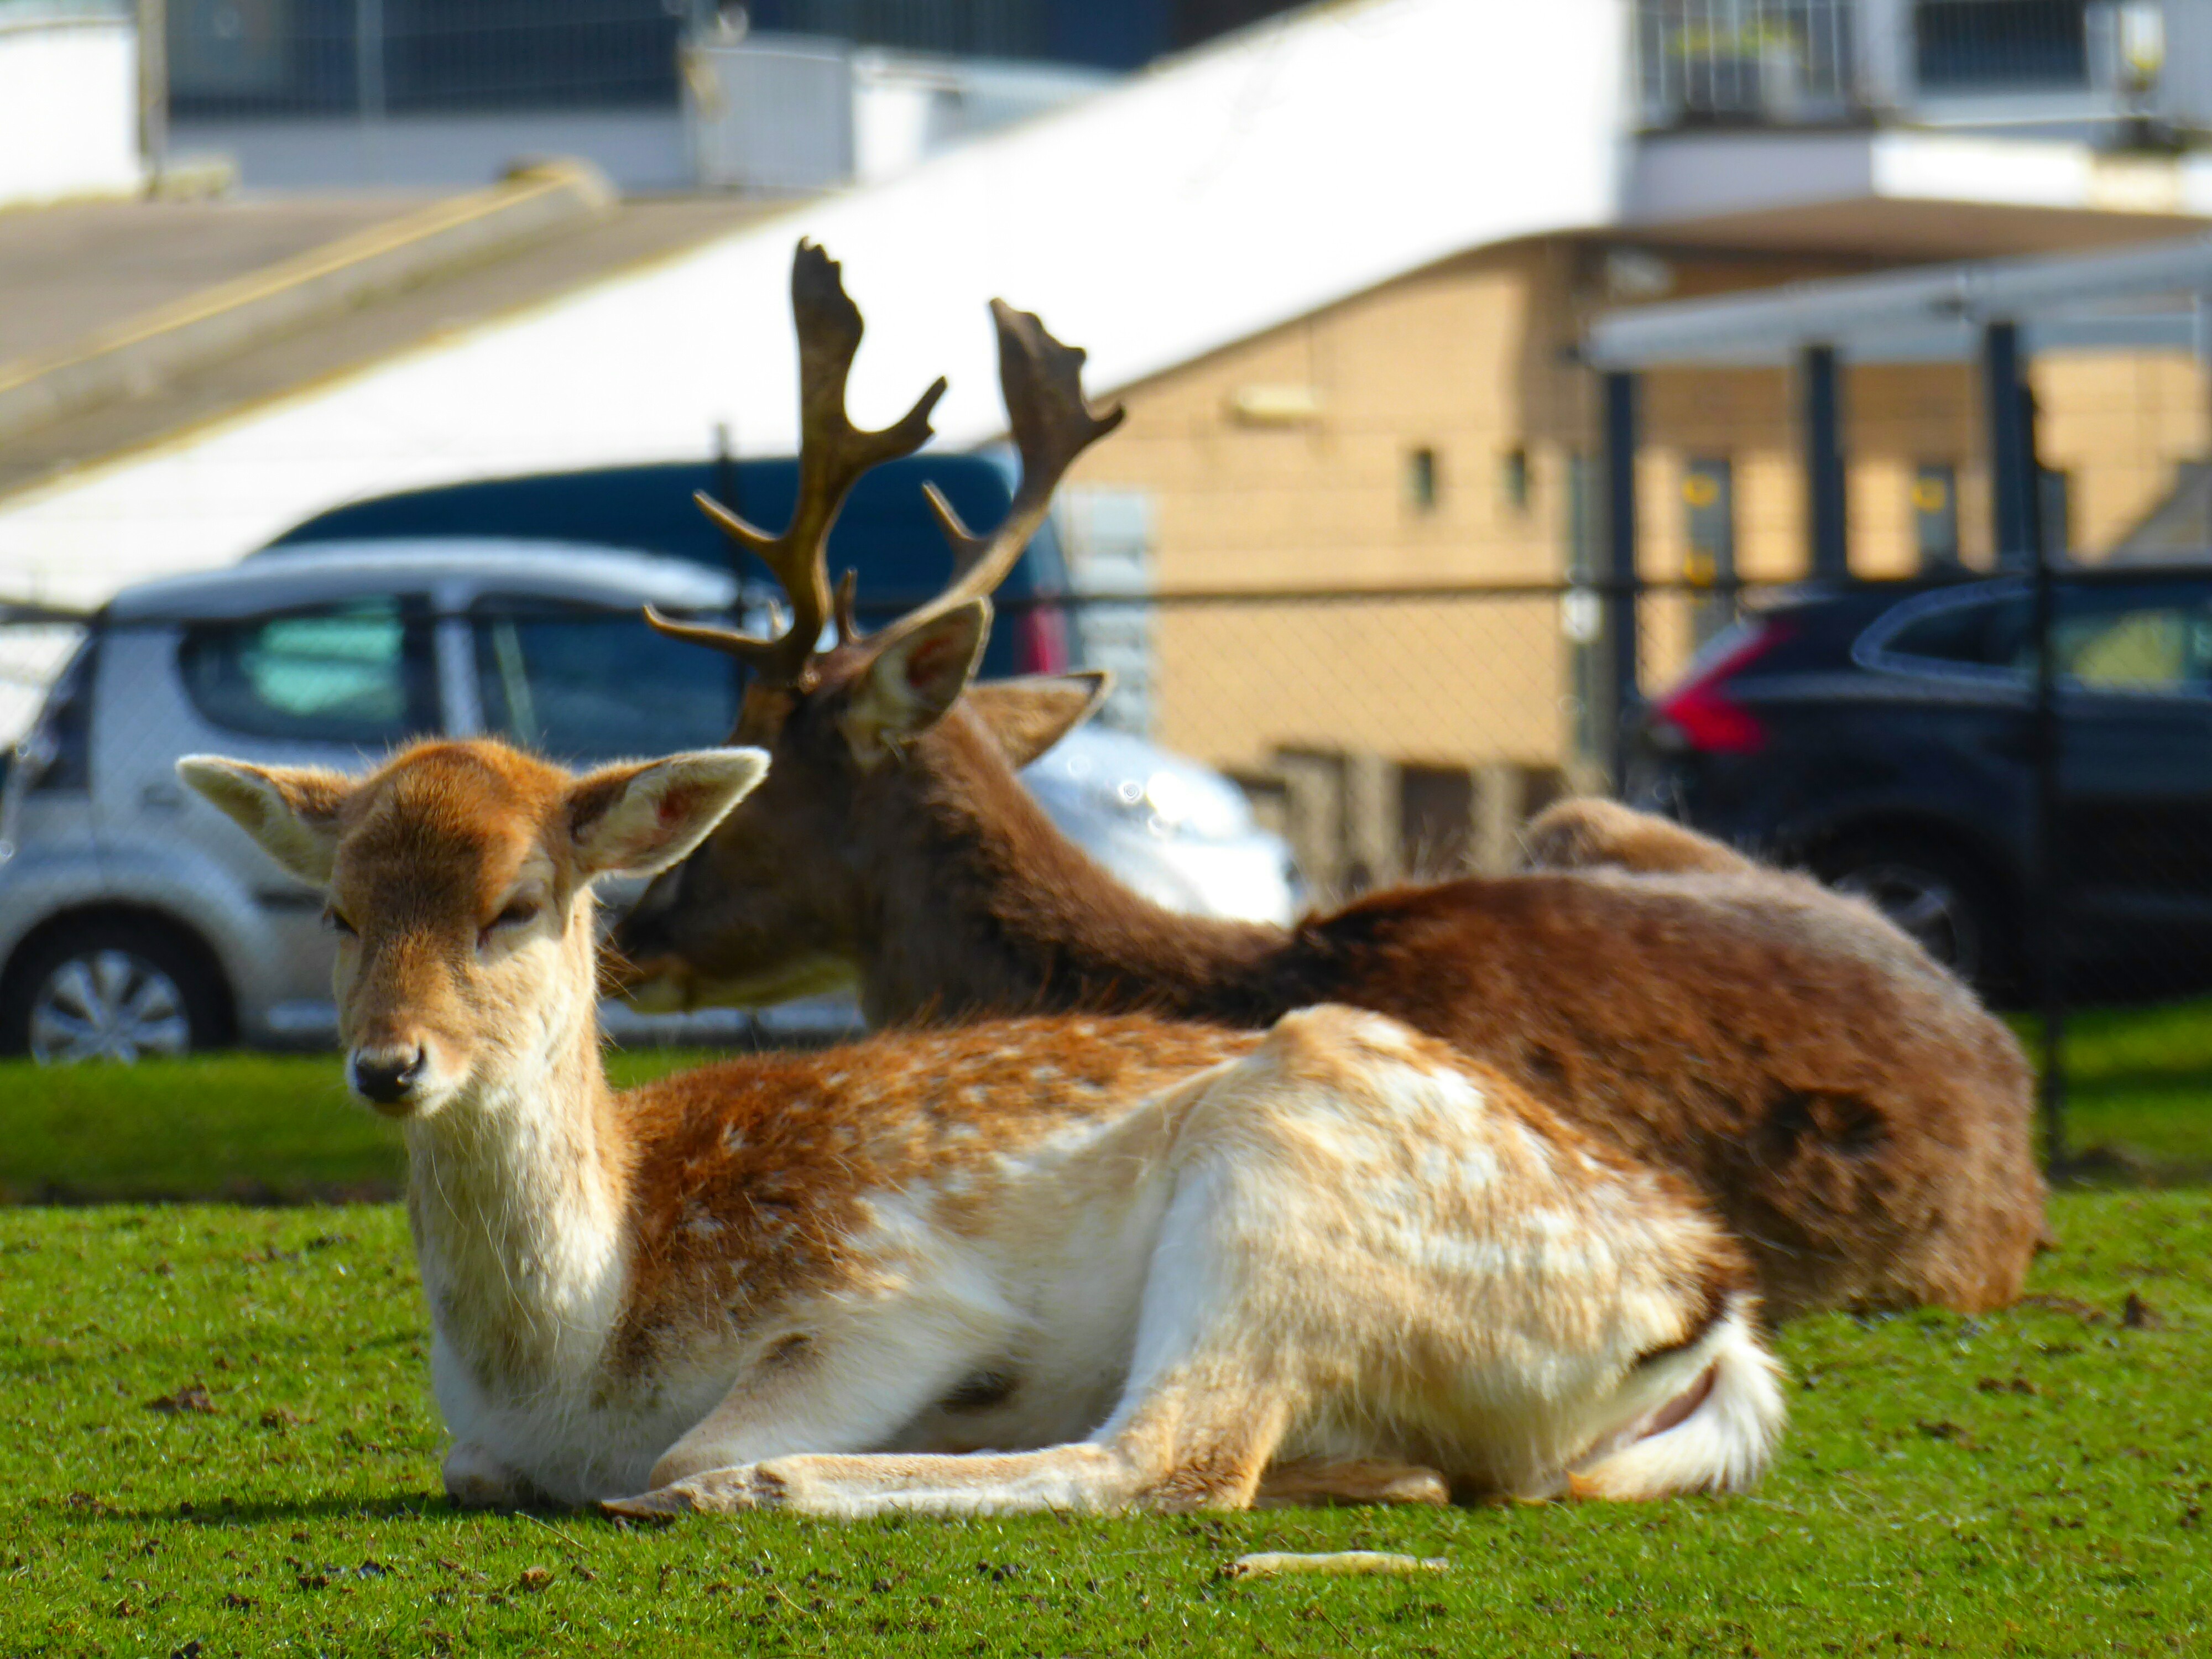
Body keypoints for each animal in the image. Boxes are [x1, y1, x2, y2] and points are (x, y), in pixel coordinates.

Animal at [181, 739, 1787, 1522]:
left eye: (516, 905)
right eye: (338, 910)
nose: (390, 1064)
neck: (573, 1351)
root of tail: (1708, 1298)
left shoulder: (883, 1288)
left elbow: (697, 1437)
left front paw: (713, 1470)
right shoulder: (481, 1438)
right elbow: (469, 1467)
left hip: (1285, 1168)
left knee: (1174, 1458)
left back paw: (769, 1487)